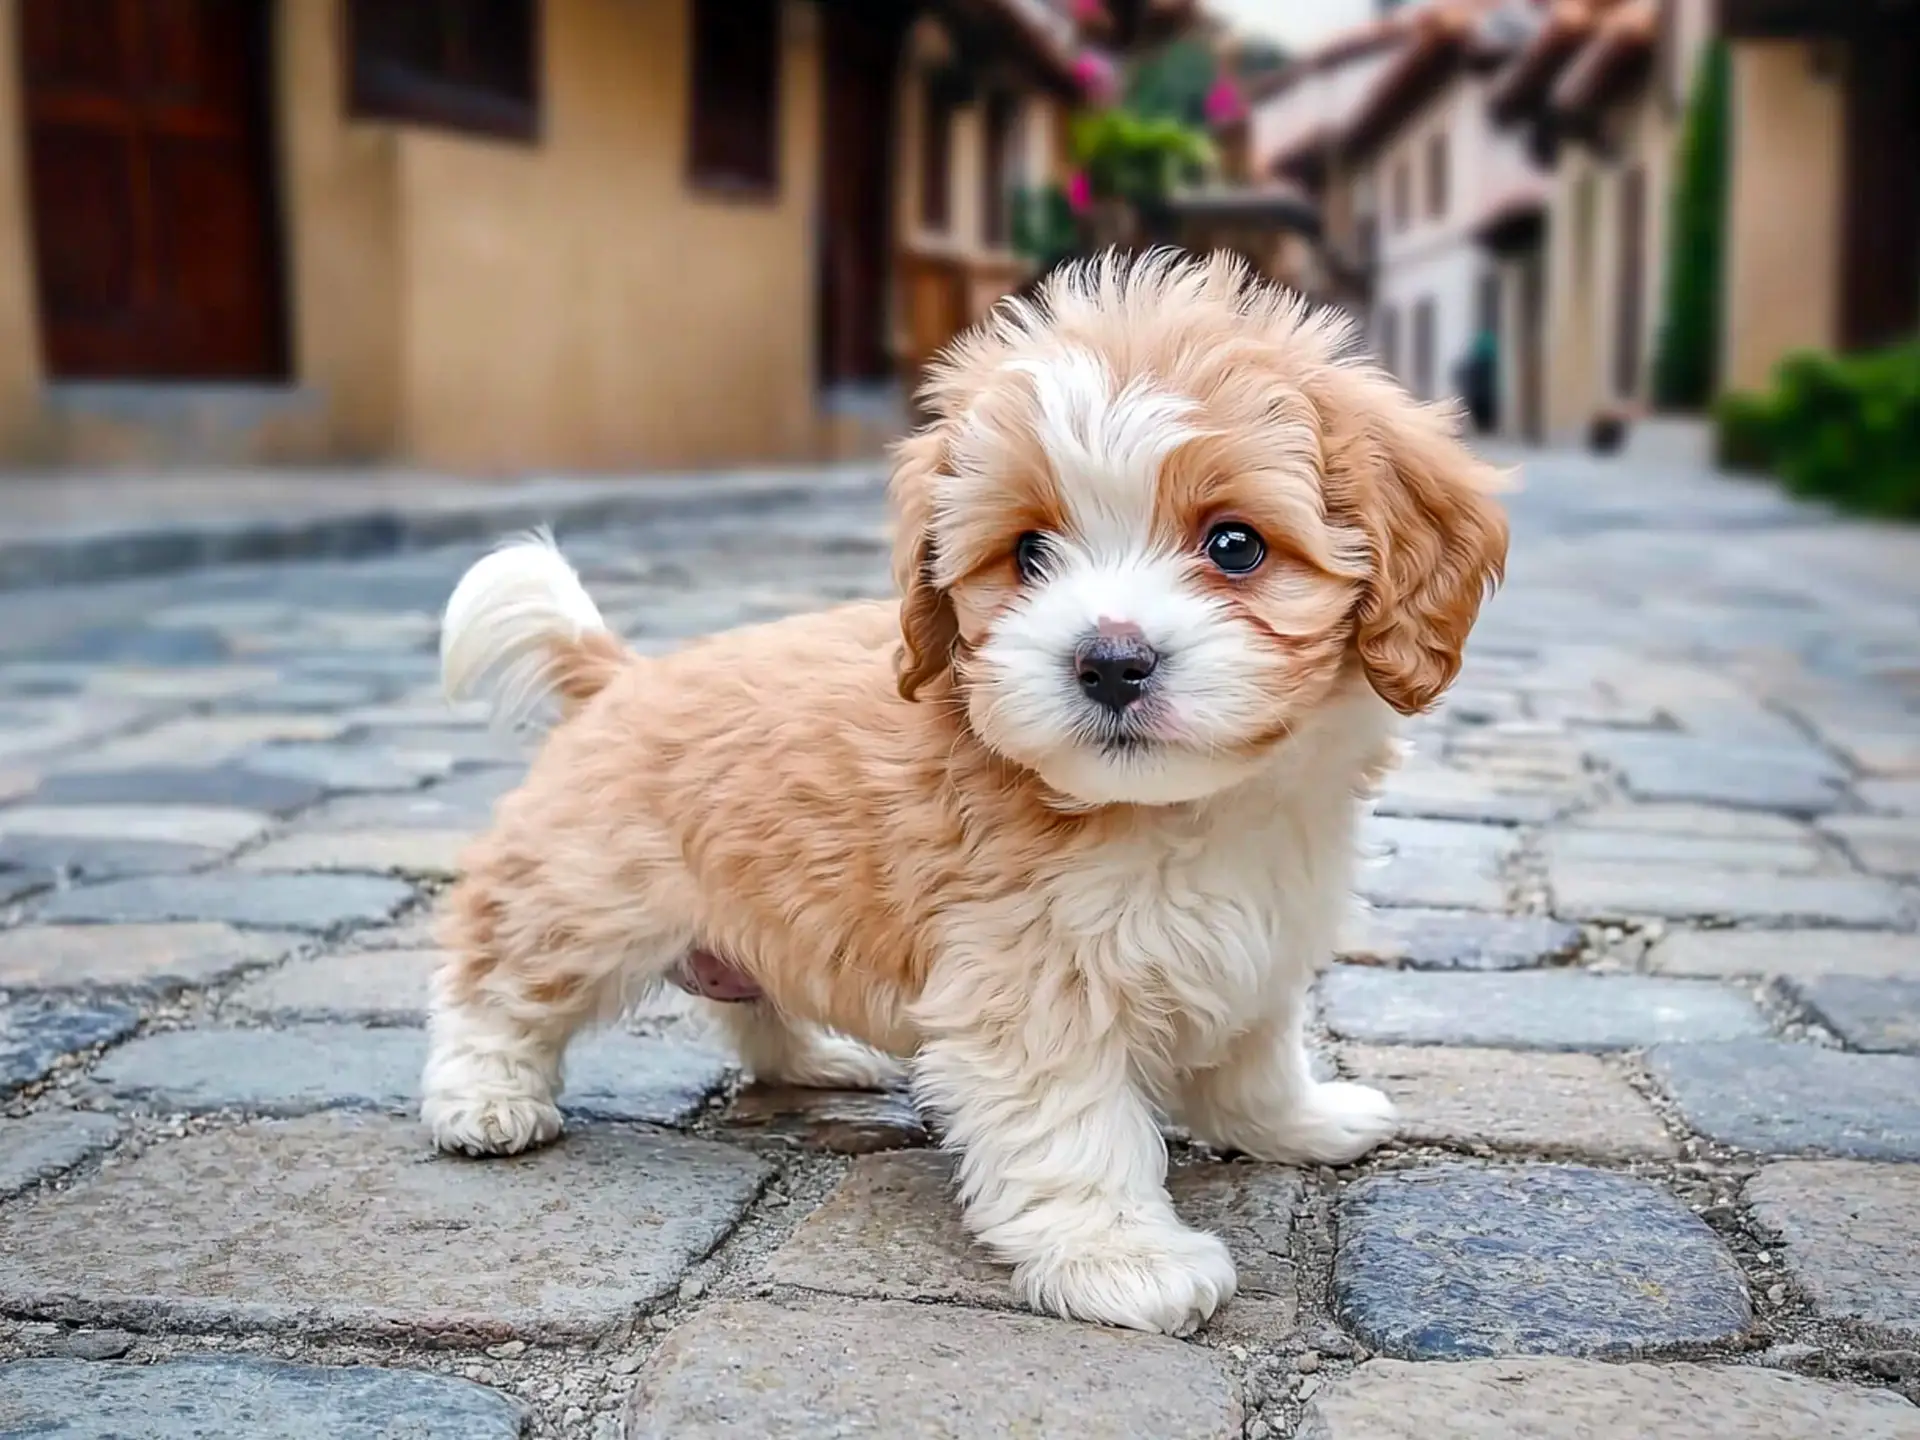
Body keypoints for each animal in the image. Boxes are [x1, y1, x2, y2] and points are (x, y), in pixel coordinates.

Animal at [424, 251, 1512, 1344]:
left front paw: (1296, 1122)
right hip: (582, 900)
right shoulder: (1029, 983)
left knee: (750, 1004)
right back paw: (483, 1098)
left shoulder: (1260, 942)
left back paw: (815, 1059)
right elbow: (1074, 1124)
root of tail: (624, 674)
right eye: (1028, 554)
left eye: (1237, 546)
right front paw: (1121, 1257)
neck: (1194, 808)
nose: (1110, 661)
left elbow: (1254, 1055)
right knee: (497, 981)